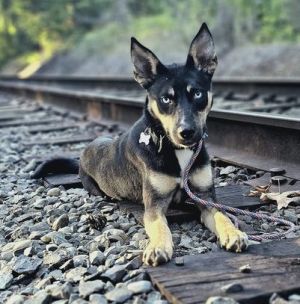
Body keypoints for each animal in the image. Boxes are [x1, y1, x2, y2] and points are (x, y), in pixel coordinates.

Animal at [33, 23, 248, 266]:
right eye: (166, 99)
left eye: (197, 93)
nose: (187, 133)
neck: (176, 150)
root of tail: (83, 154)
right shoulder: (154, 205)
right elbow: (159, 225)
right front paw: (158, 246)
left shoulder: (205, 197)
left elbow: (222, 215)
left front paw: (233, 233)